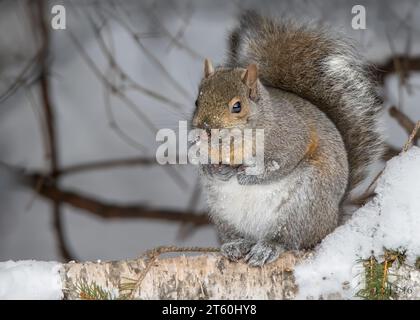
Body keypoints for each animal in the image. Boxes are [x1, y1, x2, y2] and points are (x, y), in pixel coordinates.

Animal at [192, 11, 382, 268]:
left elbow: (280, 164)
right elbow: (204, 167)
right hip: (223, 214)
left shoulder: (292, 137)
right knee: (241, 236)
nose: (205, 129)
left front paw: (247, 175)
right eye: (197, 102)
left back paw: (268, 248)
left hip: (303, 205)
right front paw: (217, 170)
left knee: (289, 238)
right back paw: (237, 245)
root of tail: (331, 222)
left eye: (237, 106)